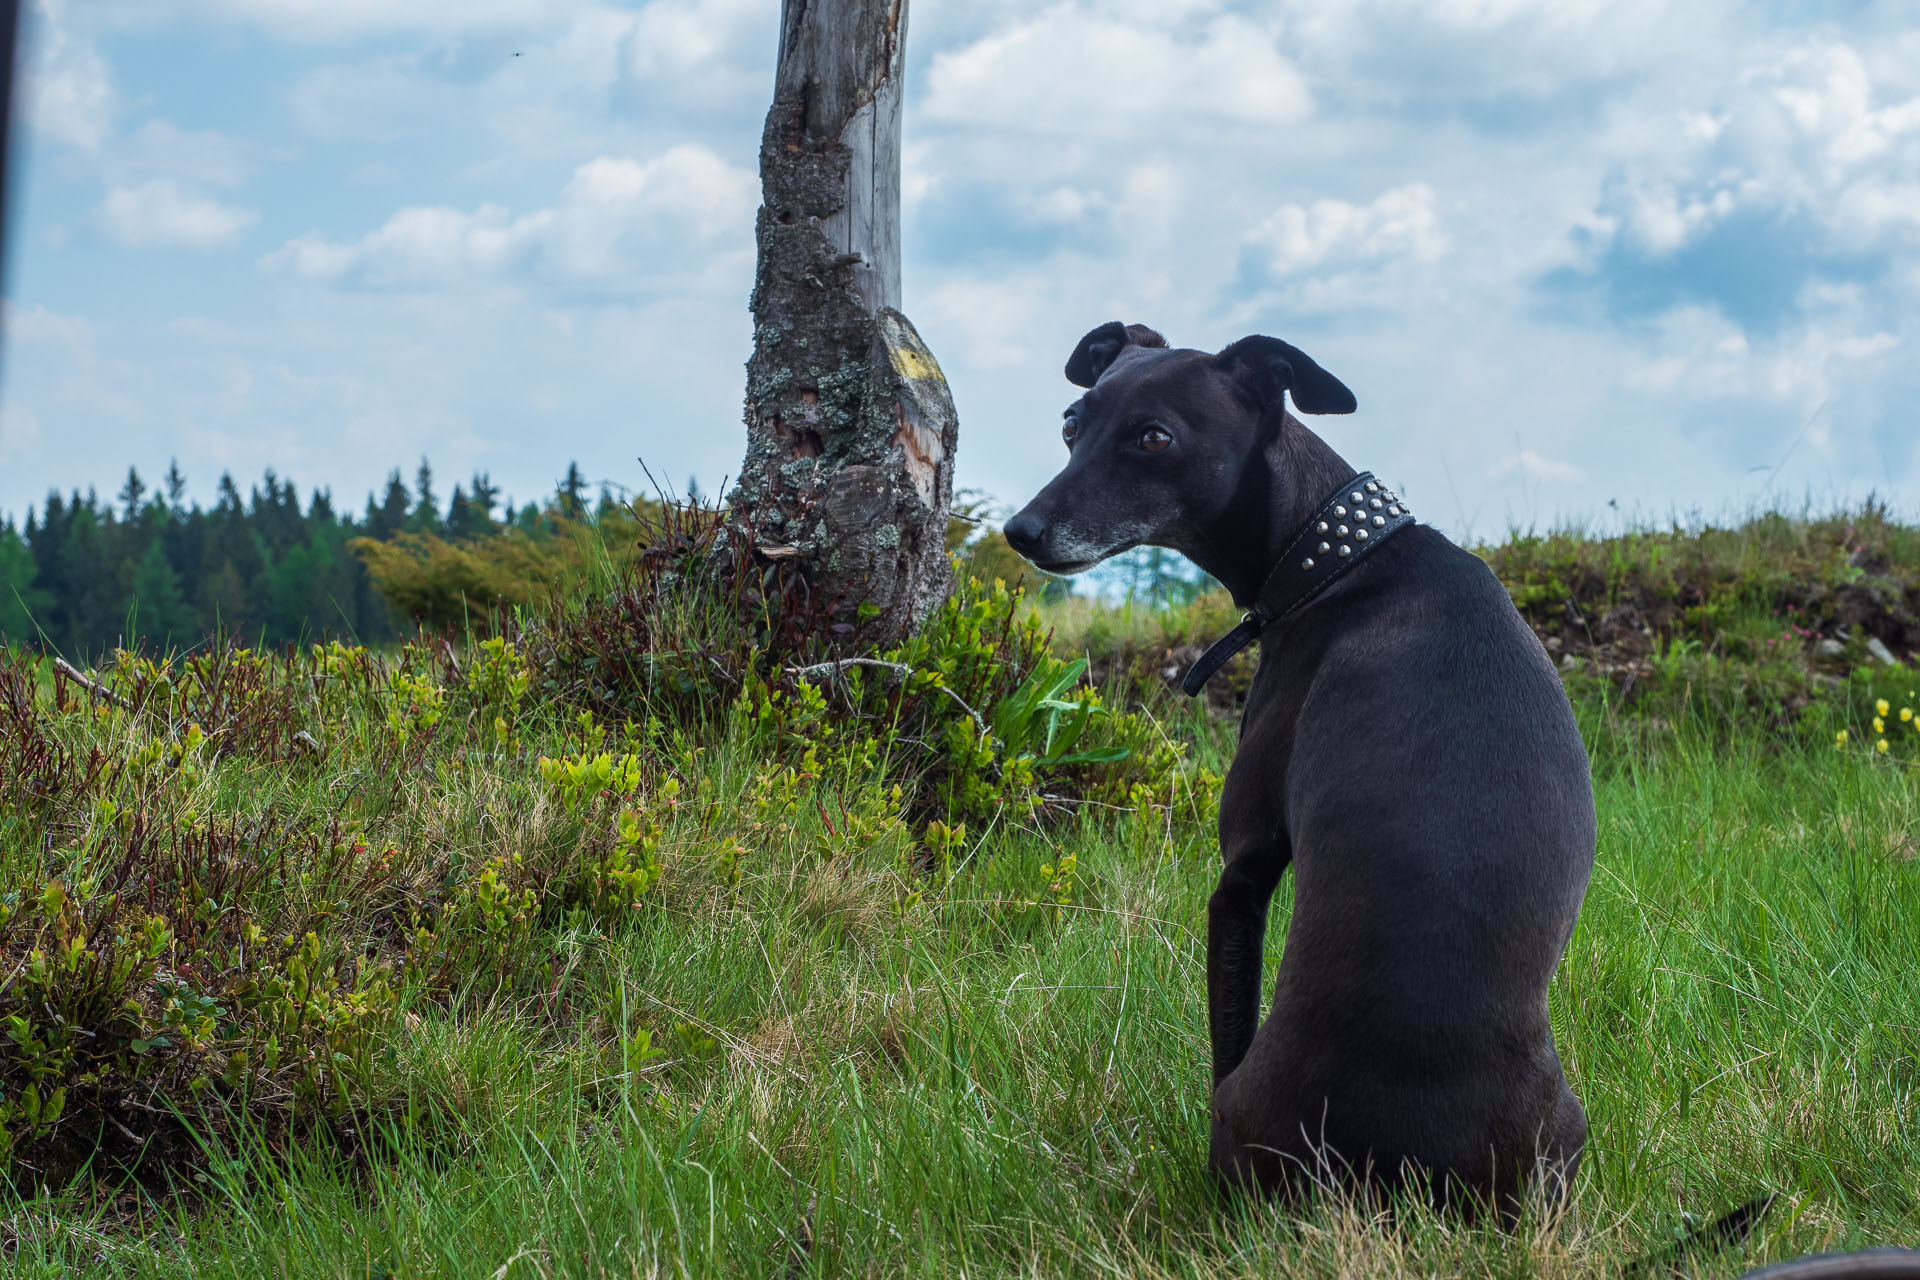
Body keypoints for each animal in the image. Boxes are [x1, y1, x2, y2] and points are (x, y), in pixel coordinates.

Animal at [998, 320, 1597, 1212]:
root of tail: (1408, 1182)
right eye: (1073, 423)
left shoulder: (1242, 869)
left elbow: (1226, 1026)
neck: (1337, 555)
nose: (1023, 532)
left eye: (1153, 437)